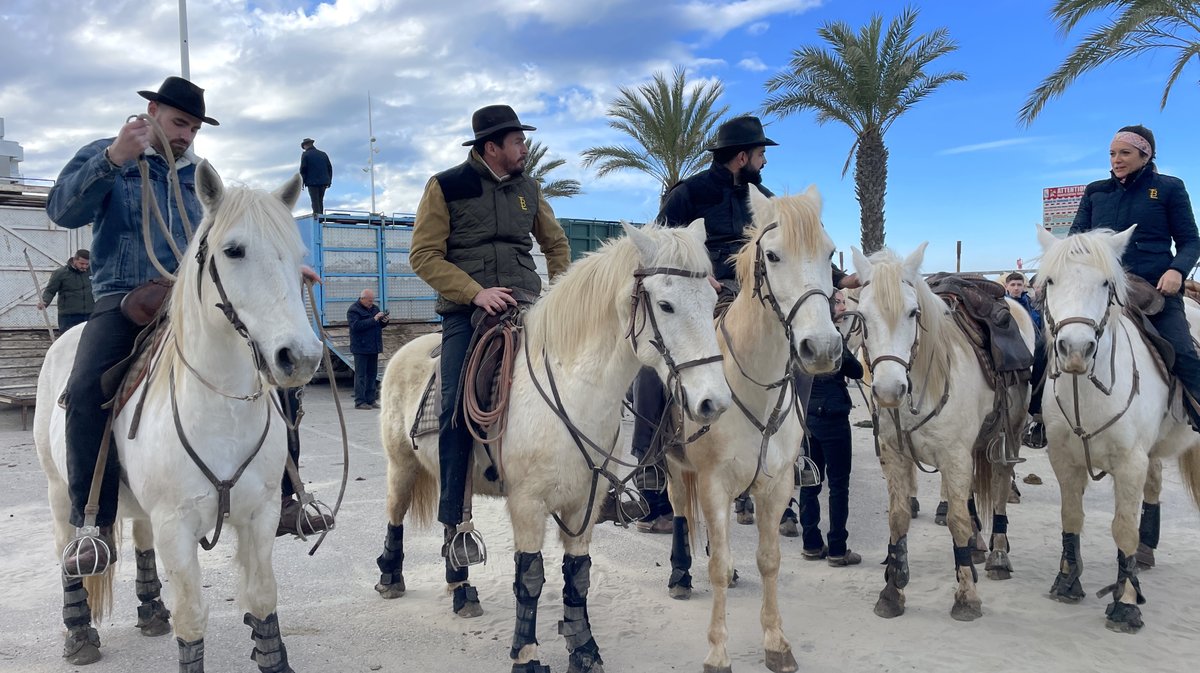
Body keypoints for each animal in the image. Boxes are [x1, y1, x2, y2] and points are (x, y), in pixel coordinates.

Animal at [33, 159, 324, 667]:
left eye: (297, 253)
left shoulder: (260, 515)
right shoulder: (177, 526)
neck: (221, 408)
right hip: (57, 493)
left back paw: (150, 609)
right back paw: (79, 632)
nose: (302, 357)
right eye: (233, 250)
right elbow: (192, 619)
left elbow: (262, 599)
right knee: (66, 552)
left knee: (140, 537)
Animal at [376, 220, 729, 671]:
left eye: (713, 300)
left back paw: (462, 591)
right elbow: (529, 576)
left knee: (453, 522)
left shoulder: (584, 504)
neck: (572, 392)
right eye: (665, 305)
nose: (713, 401)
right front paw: (526, 654)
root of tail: (406, 349)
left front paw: (584, 648)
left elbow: (578, 574)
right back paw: (390, 578)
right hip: (401, 466)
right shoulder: (527, 504)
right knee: (395, 515)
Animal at [667, 184, 844, 671]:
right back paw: (679, 575)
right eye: (774, 255)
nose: (823, 347)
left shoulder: (775, 485)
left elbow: (769, 560)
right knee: (679, 512)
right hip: (675, 471)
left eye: (830, 253)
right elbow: (714, 561)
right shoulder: (712, 483)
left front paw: (776, 642)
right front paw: (717, 650)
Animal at [854, 242, 1032, 619]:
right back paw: (977, 546)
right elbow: (899, 517)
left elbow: (956, 520)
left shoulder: (954, 456)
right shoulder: (896, 455)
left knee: (999, 485)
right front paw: (892, 591)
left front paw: (966, 596)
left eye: (912, 313)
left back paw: (997, 554)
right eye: (861, 316)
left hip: (1009, 433)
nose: (889, 390)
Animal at [1032, 225, 1200, 628]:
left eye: (1106, 283)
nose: (1075, 350)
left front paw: (1125, 601)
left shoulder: (1129, 463)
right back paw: (1146, 552)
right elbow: (1071, 516)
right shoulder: (1064, 459)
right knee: (1154, 484)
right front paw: (1067, 582)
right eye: (1051, 280)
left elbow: (1122, 527)